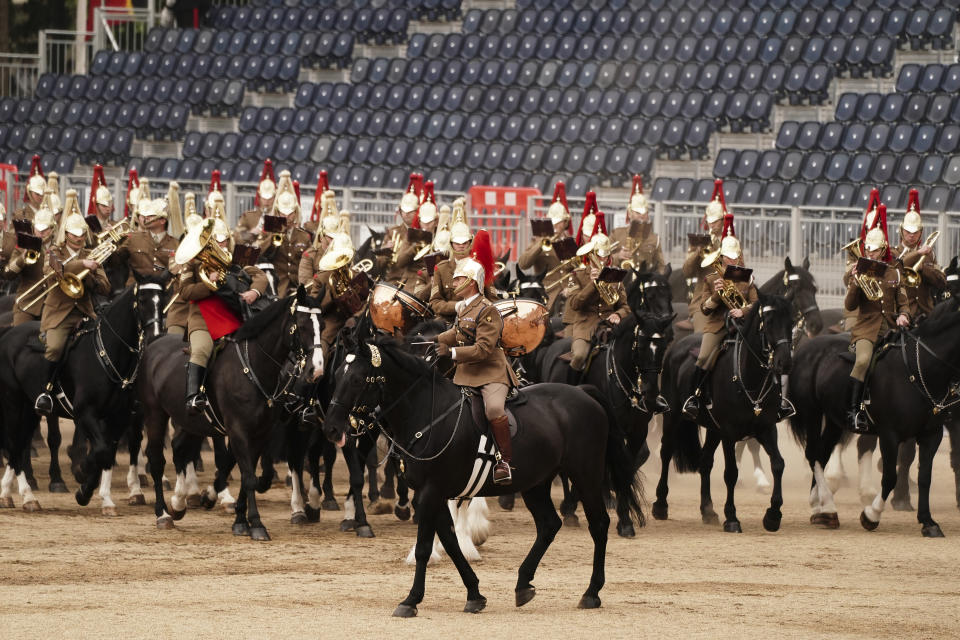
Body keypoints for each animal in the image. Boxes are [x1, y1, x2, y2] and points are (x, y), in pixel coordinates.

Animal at [0, 274, 167, 510]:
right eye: (142, 300)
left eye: (162, 300)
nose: (156, 336)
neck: (108, 354)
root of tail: (9, 332)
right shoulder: (86, 413)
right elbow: (101, 451)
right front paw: (85, 482)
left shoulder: (119, 417)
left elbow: (107, 452)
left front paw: (97, 494)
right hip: (13, 402)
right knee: (15, 444)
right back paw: (27, 495)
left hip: (30, 409)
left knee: (19, 445)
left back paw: (11, 493)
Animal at [139, 284, 324, 540]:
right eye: (304, 325)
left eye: (322, 326)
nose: (317, 370)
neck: (254, 366)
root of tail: (155, 343)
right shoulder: (238, 430)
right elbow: (247, 476)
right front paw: (256, 523)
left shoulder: (260, 432)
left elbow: (248, 474)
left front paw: (239, 520)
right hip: (155, 414)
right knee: (157, 459)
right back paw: (163, 514)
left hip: (190, 420)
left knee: (179, 448)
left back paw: (179, 503)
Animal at [322, 338, 644, 616]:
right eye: (336, 375)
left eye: (356, 379)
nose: (332, 428)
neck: (428, 414)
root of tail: (583, 393)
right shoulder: (433, 494)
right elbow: (451, 543)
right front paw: (474, 594)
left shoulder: (431, 492)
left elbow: (426, 547)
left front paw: (411, 600)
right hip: (535, 483)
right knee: (549, 525)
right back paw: (523, 584)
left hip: (586, 475)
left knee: (599, 525)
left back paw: (591, 592)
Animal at [652, 292, 796, 532]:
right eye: (769, 321)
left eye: (791, 322)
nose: (784, 362)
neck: (749, 376)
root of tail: (678, 345)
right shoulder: (729, 432)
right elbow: (731, 473)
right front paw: (732, 518)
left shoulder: (766, 428)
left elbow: (778, 464)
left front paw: (773, 515)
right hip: (672, 418)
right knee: (666, 452)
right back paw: (660, 505)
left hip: (713, 429)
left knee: (705, 462)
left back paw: (707, 510)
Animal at [792, 298, 960, 536]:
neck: (921, 368)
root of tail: (807, 347)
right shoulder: (889, 435)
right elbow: (889, 477)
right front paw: (871, 515)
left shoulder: (932, 435)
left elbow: (924, 477)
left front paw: (928, 522)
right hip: (813, 414)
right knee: (814, 453)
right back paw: (828, 506)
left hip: (834, 420)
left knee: (822, 454)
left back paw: (819, 506)